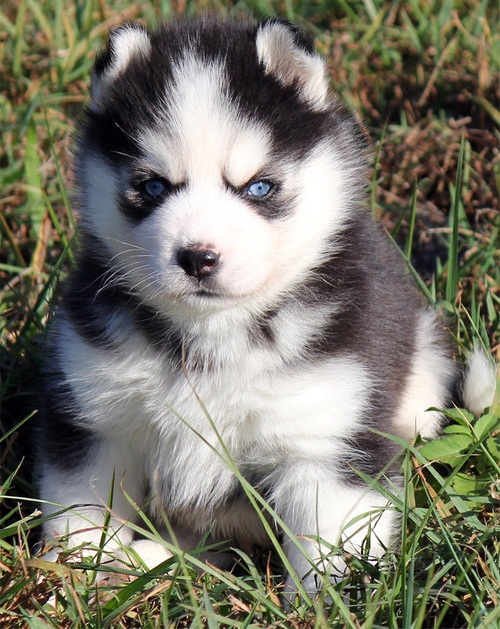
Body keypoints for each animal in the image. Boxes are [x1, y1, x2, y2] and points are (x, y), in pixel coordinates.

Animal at [38, 15, 492, 592]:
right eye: (153, 186)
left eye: (258, 187)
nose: (198, 257)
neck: (214, 334)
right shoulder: (97, 415)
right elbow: (82, 514)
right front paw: (77, 581)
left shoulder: (325, 433)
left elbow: (332, 546)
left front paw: (326, 601)